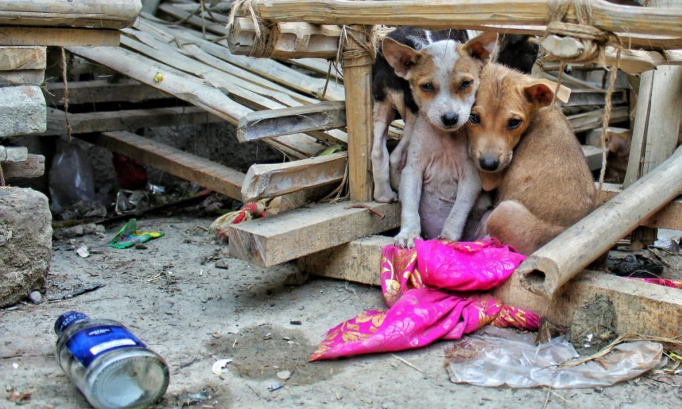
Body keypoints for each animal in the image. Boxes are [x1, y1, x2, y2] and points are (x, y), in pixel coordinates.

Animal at [464, 63, 592, 255]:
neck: (538, 113)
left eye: (514, 122)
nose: (489, 165)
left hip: (502, 212)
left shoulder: (491, 177)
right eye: (473, 117)